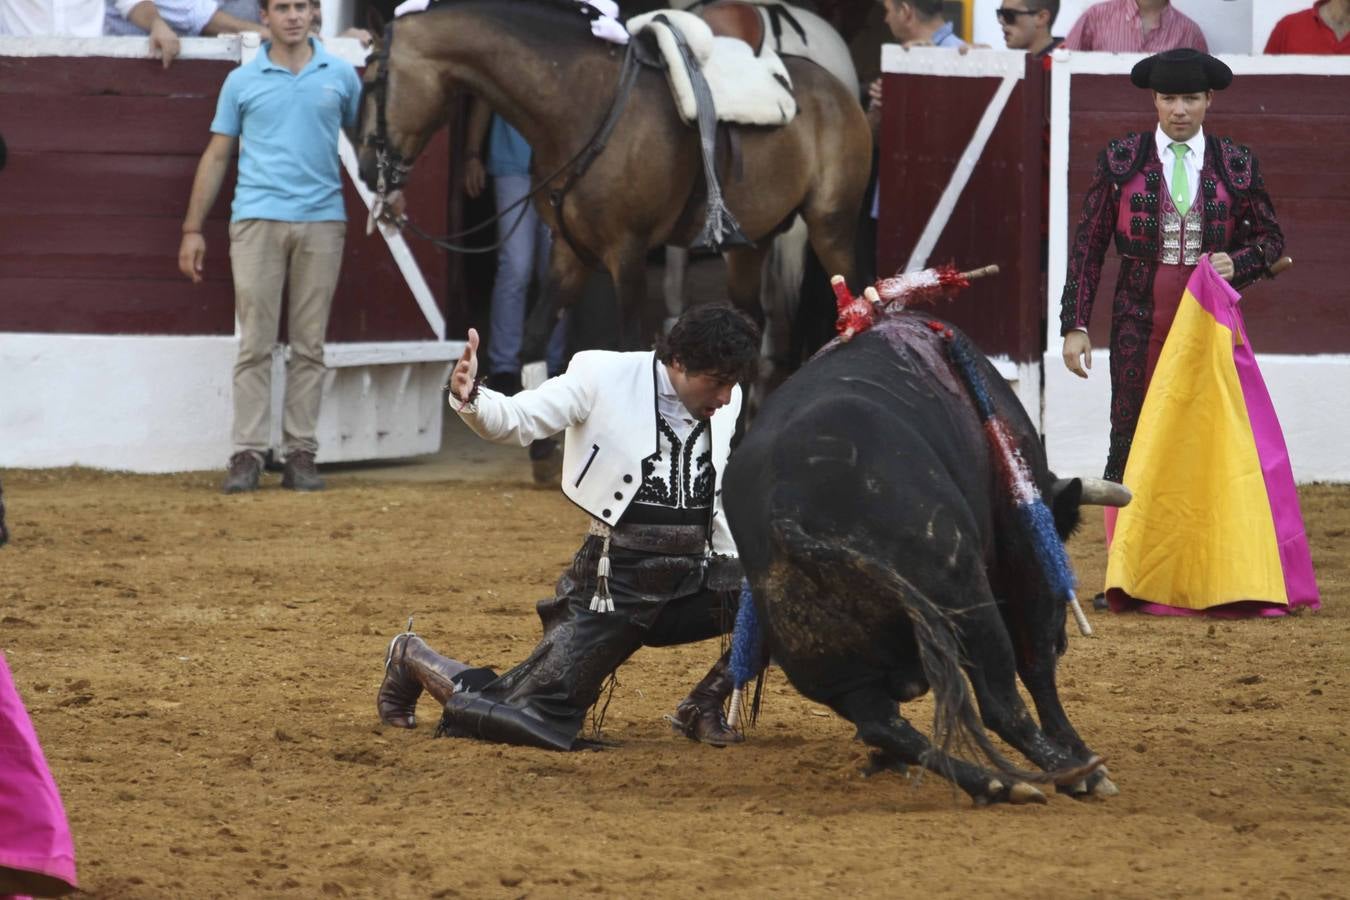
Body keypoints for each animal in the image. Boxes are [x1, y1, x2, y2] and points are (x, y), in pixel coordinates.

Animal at [353, 0, 869, 350]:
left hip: (832, 228)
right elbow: (536, 336)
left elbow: (629, 346)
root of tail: (840, 90)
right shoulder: (569, 248)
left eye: (373, 80)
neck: (582, 104)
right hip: (751, 243)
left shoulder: (628, 251)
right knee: (751, 322)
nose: (363, 165)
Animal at [723, 317, 1123, 809]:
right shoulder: (1023, 551)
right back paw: (1067, 772)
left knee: (883, 724)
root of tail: (785, 509)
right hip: (964, 597)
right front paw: (1082, 759)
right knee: (1001, 702)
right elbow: (1037, 666)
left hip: (832, 670)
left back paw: (993, 782)